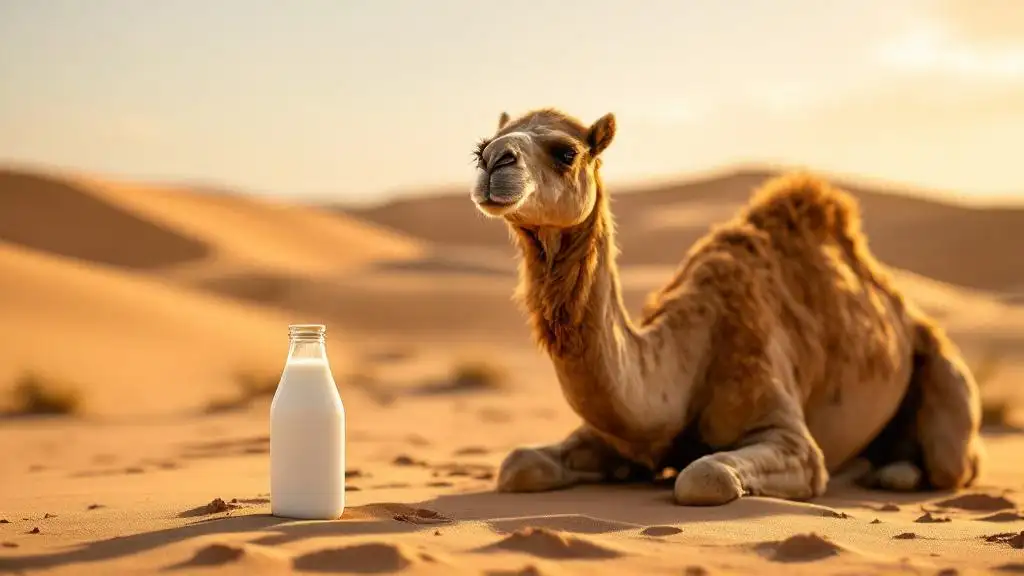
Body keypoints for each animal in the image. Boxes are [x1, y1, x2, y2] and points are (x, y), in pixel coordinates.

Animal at [468, 107, 985, 506]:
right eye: (481, 147)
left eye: (565, 151)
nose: (494, 161)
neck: (687, 359)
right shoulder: (617, 431)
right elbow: (518, 464)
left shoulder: (788, 432)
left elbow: (705, 475)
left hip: (945, 379)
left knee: (953, 463)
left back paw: (890, 472)